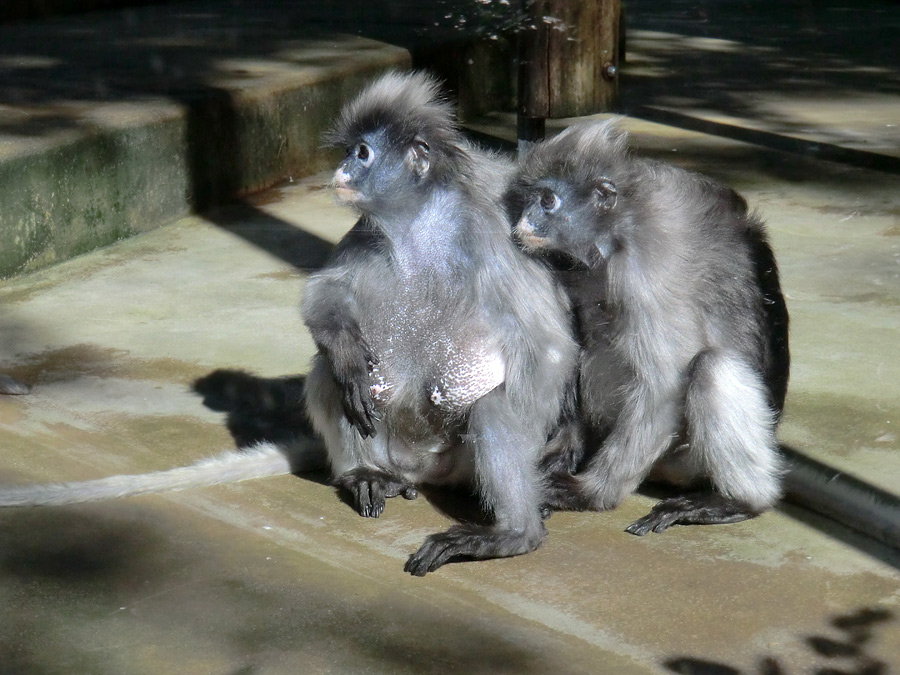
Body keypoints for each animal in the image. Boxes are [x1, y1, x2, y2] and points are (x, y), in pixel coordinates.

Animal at [302, 70, 576, 576]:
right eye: (349, 152)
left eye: (362, 153)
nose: (342, 171)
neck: (420, 228)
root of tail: (420, 469)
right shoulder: (368, 230)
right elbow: (324, 294)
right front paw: (347, 352)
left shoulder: (493, 235)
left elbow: (550, 347)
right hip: (389, 448)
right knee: (336, 374)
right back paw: (365, 474)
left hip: (462, 464)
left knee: (496, 409)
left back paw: (515, 533)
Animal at [510, 120, 792, 532]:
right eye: (531, 199)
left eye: (548, 201)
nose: (523, 220)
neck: (617, 233)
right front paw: (561, 457)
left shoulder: (648, 267)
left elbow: (664, 384)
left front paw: (589, 493)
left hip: (681, 460)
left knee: (713, 367)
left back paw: (740, 501)